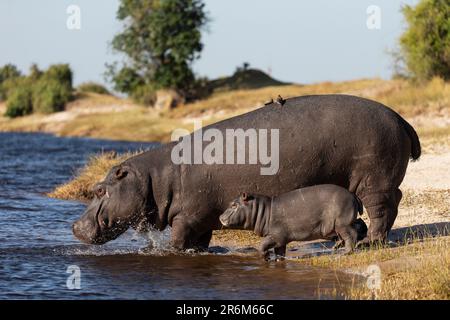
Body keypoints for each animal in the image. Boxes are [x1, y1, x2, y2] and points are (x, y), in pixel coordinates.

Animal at [72, 95, 420, 250]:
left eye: (99, 190)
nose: (74, 227)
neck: (154, 178)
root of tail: (401, 118)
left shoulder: (186, 217)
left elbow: (178, 240)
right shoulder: (203, 218)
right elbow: (200, 242)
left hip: (373, 180)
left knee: (380, 210)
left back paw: (370, 243)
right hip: (380, 181)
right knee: (393, 203)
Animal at [221, 184, 366, 258]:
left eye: (234, 205)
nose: (220, 217)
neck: (263, 210)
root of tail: (353, 194)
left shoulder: (276, 236)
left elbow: (262, 245)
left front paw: (266, 256)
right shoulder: (280, 240)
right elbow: (280, 252)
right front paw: (278, 261)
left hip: (342, 223)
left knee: (351, 234)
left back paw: (346, 252)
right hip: (342, 223)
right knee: (360, 225)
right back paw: (337, 247)